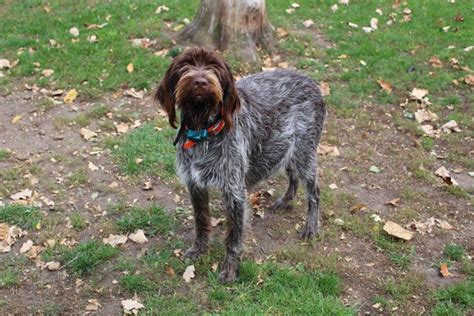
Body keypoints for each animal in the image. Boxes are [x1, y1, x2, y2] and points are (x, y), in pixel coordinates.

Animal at [156, 47, 326, 282]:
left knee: (314, 192)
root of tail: (311, 82)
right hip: (284, 146)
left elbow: (233, 237)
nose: (200, 82)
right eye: (185, 66)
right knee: (293, 176)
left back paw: (311, 227)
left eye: (214, 67)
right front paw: (200, 250)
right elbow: (201, 222)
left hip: (304, 153)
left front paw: (230, 269)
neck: (203, 132)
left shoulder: (234, 192)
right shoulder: (195, 185)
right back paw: (286, 200)